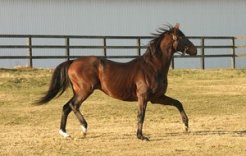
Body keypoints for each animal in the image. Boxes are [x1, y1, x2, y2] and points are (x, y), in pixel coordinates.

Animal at [37, 23, 198, 141]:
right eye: (182, 37)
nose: (195, 50)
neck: (153, 66)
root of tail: (72, 62)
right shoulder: (143, 97)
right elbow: (141, 115)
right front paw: (141, 136)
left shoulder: (157, 98)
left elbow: (177, 103)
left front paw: (186, 126)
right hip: (85, 90)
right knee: (73, 105)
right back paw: (84, 129)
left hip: (78, 91)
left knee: (66, 107)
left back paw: (65, 133)